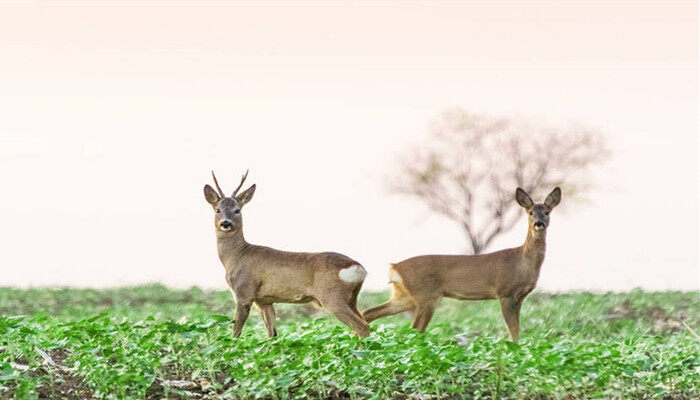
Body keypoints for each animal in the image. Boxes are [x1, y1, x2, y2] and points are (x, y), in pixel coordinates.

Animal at [202, 171, 370, 338]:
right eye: (217, 210)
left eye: (237, 210)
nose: (226, 223)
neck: (237, 255)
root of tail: (358, 267)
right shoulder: (264, 300)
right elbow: (272, 334)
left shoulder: (244, 293)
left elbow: (235, 333)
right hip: (352, 298)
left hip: (332, 296)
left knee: (362, 325)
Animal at [364, 187, 560, 340]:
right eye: (530, 212)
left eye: (547, 212)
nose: (539, 223)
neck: (521, 261)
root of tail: (394, 267)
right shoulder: (505, 293)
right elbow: (513, 331)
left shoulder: (519, 297)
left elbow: (516, 330)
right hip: (425, 296)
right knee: (415, 329)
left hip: (404, 296)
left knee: (369, 313)